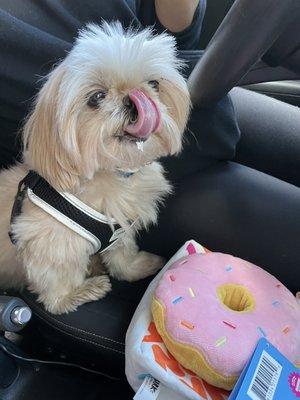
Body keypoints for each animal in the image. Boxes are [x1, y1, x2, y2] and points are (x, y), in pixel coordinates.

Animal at [0, 23, 190, 314]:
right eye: (97, 97)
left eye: (154, 84)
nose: (134, 99)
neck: (114, 175)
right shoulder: (47, 243)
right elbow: (56, 287)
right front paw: (77, 294)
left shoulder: (121, 229)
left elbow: (122, 255)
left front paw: (138, 267)